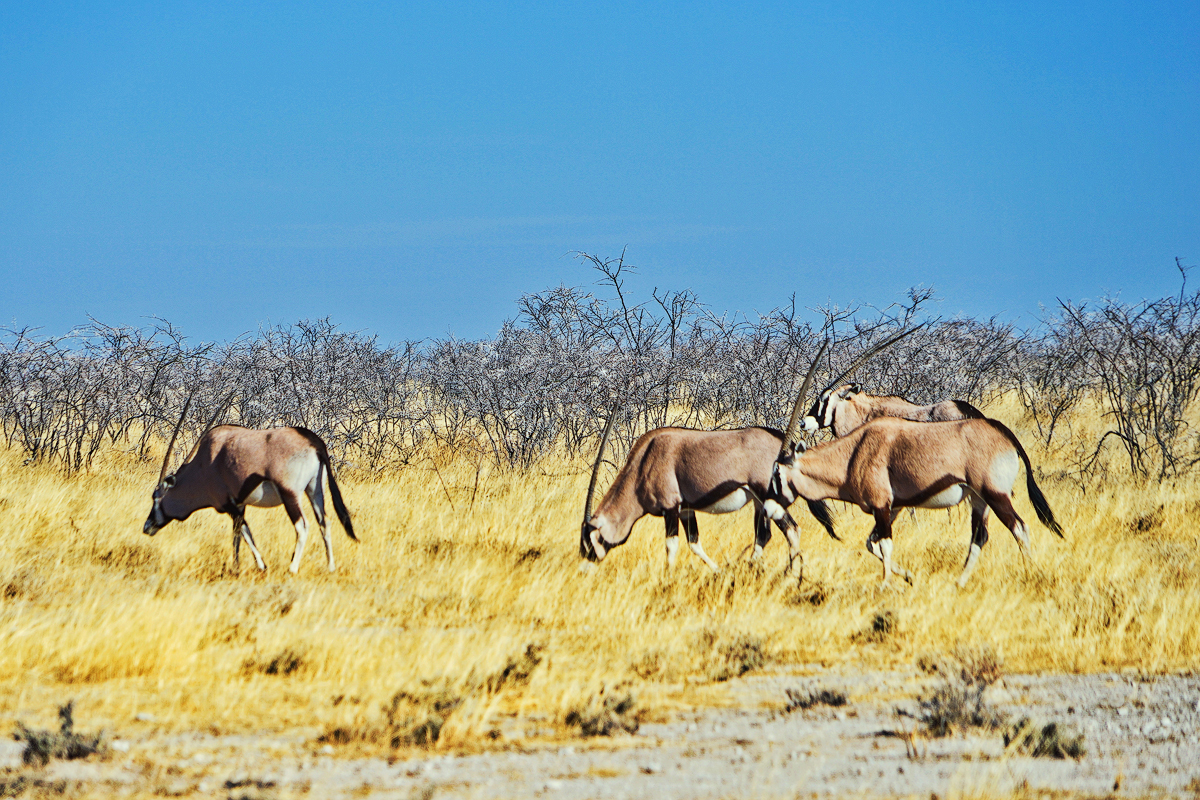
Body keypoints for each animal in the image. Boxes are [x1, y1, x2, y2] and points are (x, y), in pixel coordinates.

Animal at [142, 400, 352, 575]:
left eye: (155, 497)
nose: (147, 527)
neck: (205, 464)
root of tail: (313, 443)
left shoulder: (230, 505)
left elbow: (245, 532)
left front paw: (261, 565)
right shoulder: (240, 504)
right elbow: (236, 535)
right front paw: (236, 567)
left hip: (290, 494)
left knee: (302, 526)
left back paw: (292, 568)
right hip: (315, 490)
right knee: (324, 522)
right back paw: (330, 567)